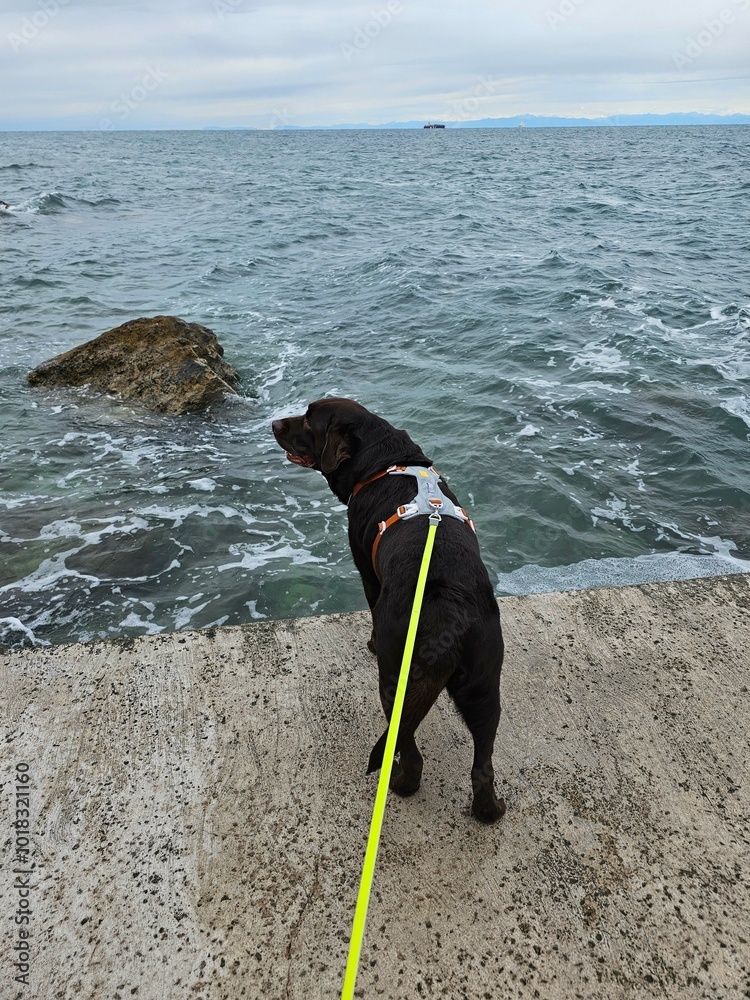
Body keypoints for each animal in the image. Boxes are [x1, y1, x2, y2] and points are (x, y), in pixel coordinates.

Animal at [272, 398, 506, 820]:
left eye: (309, 420)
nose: (274, 423)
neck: (386, 461)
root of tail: (449, 617)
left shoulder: (367, 572)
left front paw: (370, 642)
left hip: (397, 680)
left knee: (409, 751)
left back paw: (401, 786)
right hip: (485, 687)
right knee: (483, 766)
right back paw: (490, 811)